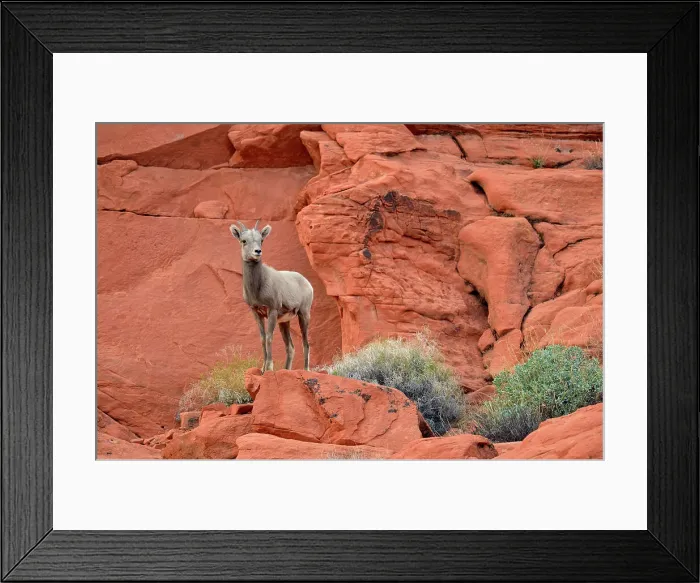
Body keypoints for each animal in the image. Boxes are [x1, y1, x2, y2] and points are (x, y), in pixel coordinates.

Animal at [229, 220, 313, 372]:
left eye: (261, 240)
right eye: (244, 241)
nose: (257, 251)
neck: (258, 287)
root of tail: (308, 283)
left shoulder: (272, 310)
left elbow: (269, 337)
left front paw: (269, 368)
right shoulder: (256, 312)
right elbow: (263, 339)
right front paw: (263, 369)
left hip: (304, 314)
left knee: (306, 343)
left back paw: (306, 370)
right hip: (285, 322)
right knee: (290, 347)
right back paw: (286, 370)